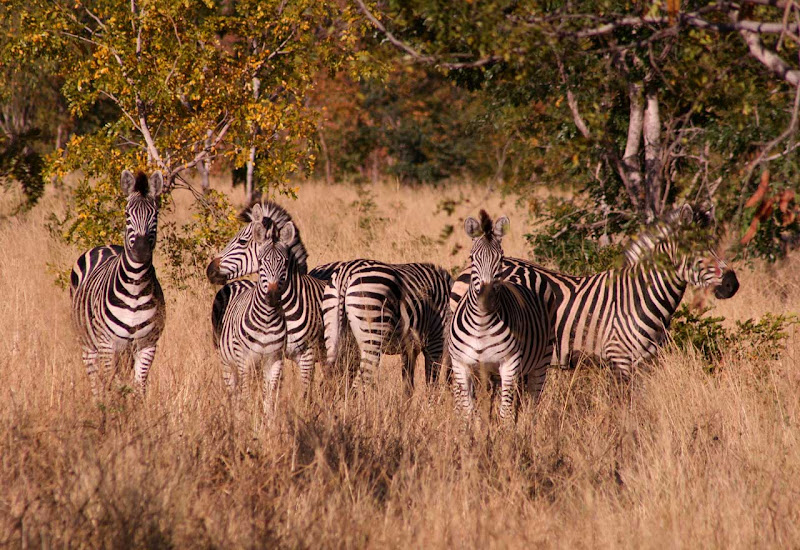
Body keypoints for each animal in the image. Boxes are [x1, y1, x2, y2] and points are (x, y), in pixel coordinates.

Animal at [70, 170, 165, 396]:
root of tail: (104, 245)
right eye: (127, 215)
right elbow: (110, 384)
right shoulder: (107, 344)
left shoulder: (147, 345)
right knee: (96, 382)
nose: (140, 251)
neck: (136, 287)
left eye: (155, 216)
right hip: (88, 344)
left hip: (126, 352)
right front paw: (112, 406)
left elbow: (139, 388)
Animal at [448, 204, 740, 381]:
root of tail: (464, 269)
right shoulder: (619, 359)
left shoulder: (645, 363)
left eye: (714, 245)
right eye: (695, 249)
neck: (639, 295)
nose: (732, 284)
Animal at [448, 210, 553, 420]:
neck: (481, 324)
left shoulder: (509, 364)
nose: (486, 299)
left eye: (501, 258)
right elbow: (469, 412)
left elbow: (505, 412)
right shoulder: (461, 364)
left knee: (532, 403)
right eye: (472, 258)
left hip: (541, 361)